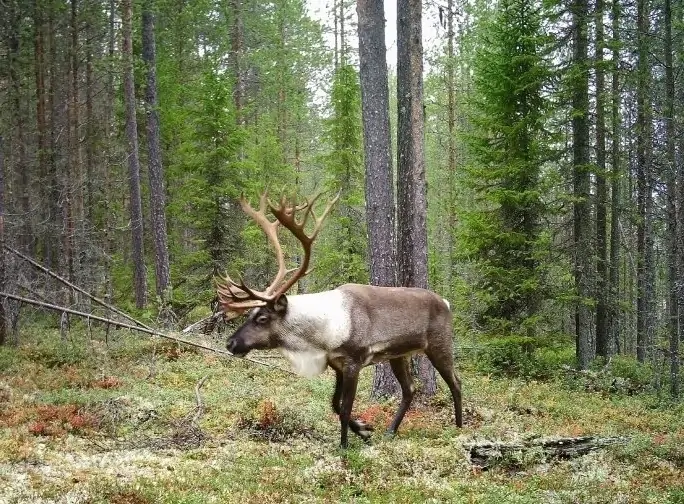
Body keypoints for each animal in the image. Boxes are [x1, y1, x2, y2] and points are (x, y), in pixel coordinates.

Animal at [216, 192, 462, 448]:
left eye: (262, 318)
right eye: (249, 314)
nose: (231, 343)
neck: (322, 336)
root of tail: (446, 302)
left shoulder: (354, 362)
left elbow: (344, 409)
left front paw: (345, 447)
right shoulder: (337, 365)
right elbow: (334, 404)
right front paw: (364, 430)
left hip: (439, 344)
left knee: (456, 382)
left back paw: (459, 427)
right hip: (398, 355)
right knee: (410, 389)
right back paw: (390, 431)